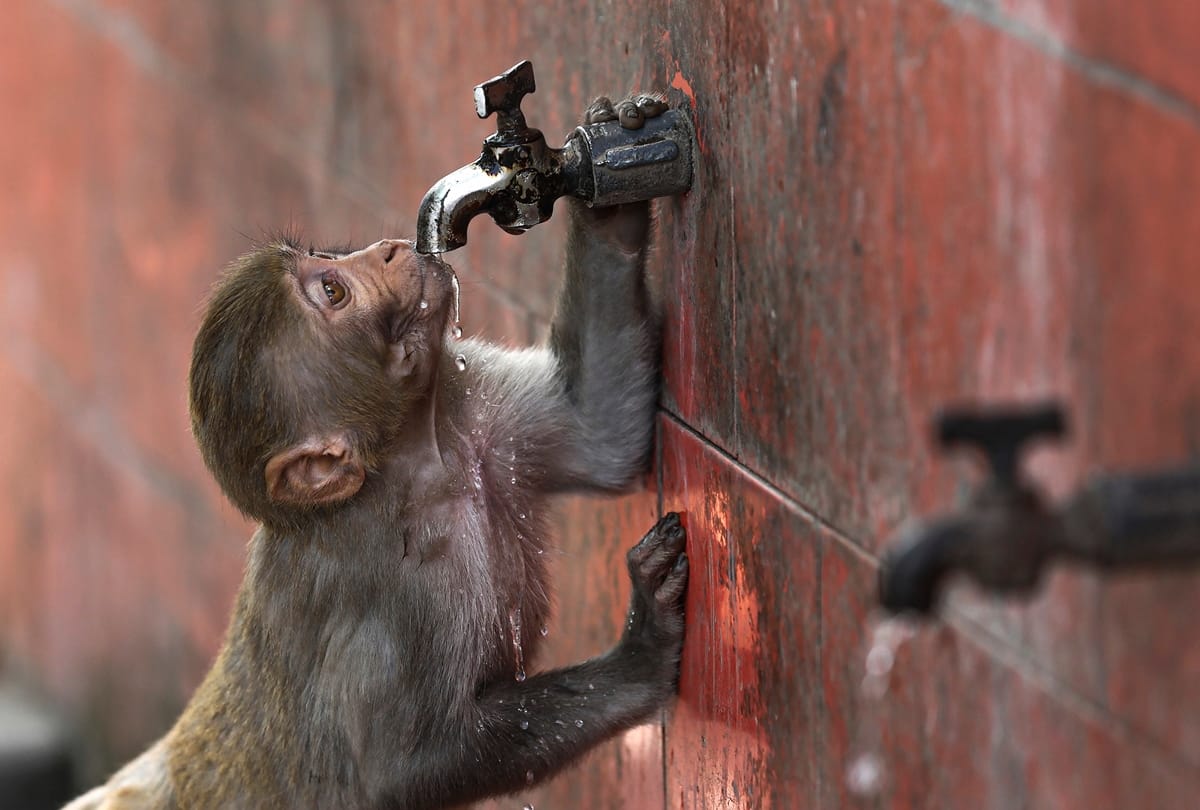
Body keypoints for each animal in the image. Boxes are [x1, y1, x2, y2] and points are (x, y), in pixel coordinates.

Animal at [64, 93, 687, 810]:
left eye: (326, 264)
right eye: (333, 293)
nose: (388, 250)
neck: (417, 467)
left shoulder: (479, 416)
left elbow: (599, 432)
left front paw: (611, 173)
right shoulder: (389, 593)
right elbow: (412, 766)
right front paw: (644, 653)